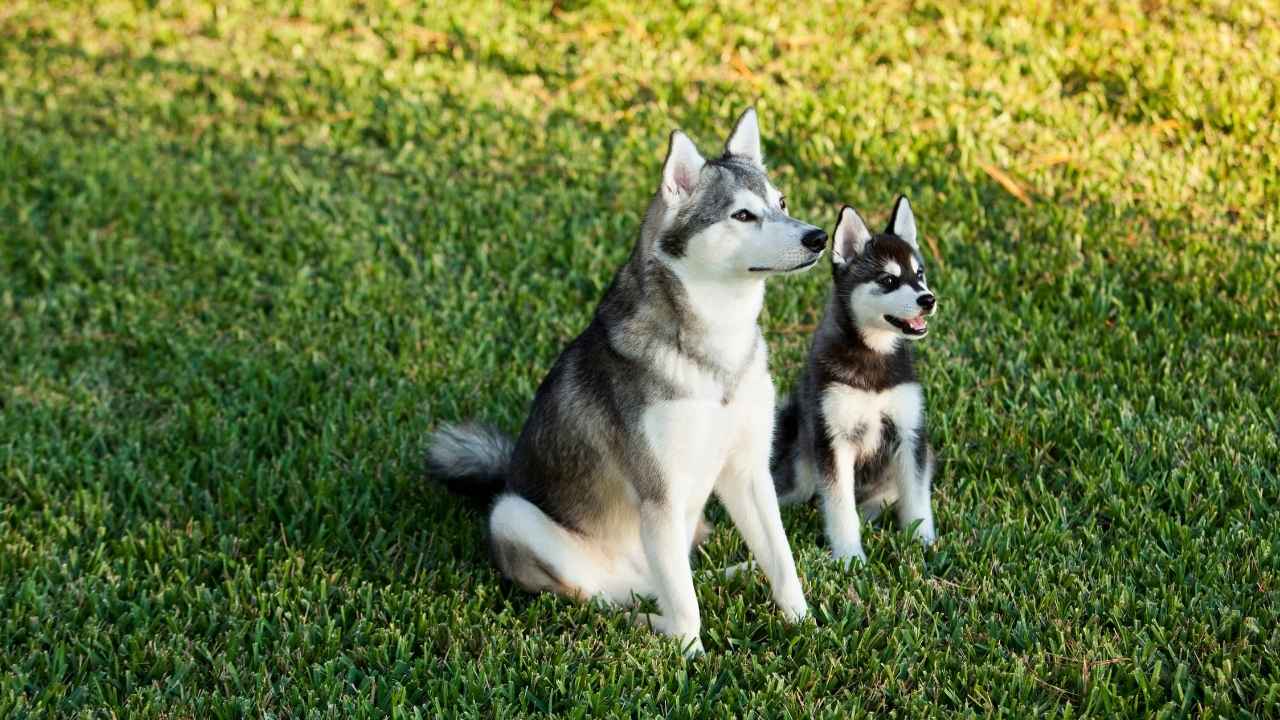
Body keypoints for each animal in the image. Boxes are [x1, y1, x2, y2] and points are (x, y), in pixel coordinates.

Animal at [768, 197, 942, 566]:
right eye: (888, 280)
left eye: (919, 274)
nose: (928, 299)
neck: (873, 355)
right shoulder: (835, 440)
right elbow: (839, 506)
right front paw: (849, 557)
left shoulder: (910, 434)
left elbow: (917, 498)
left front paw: (923, 541)